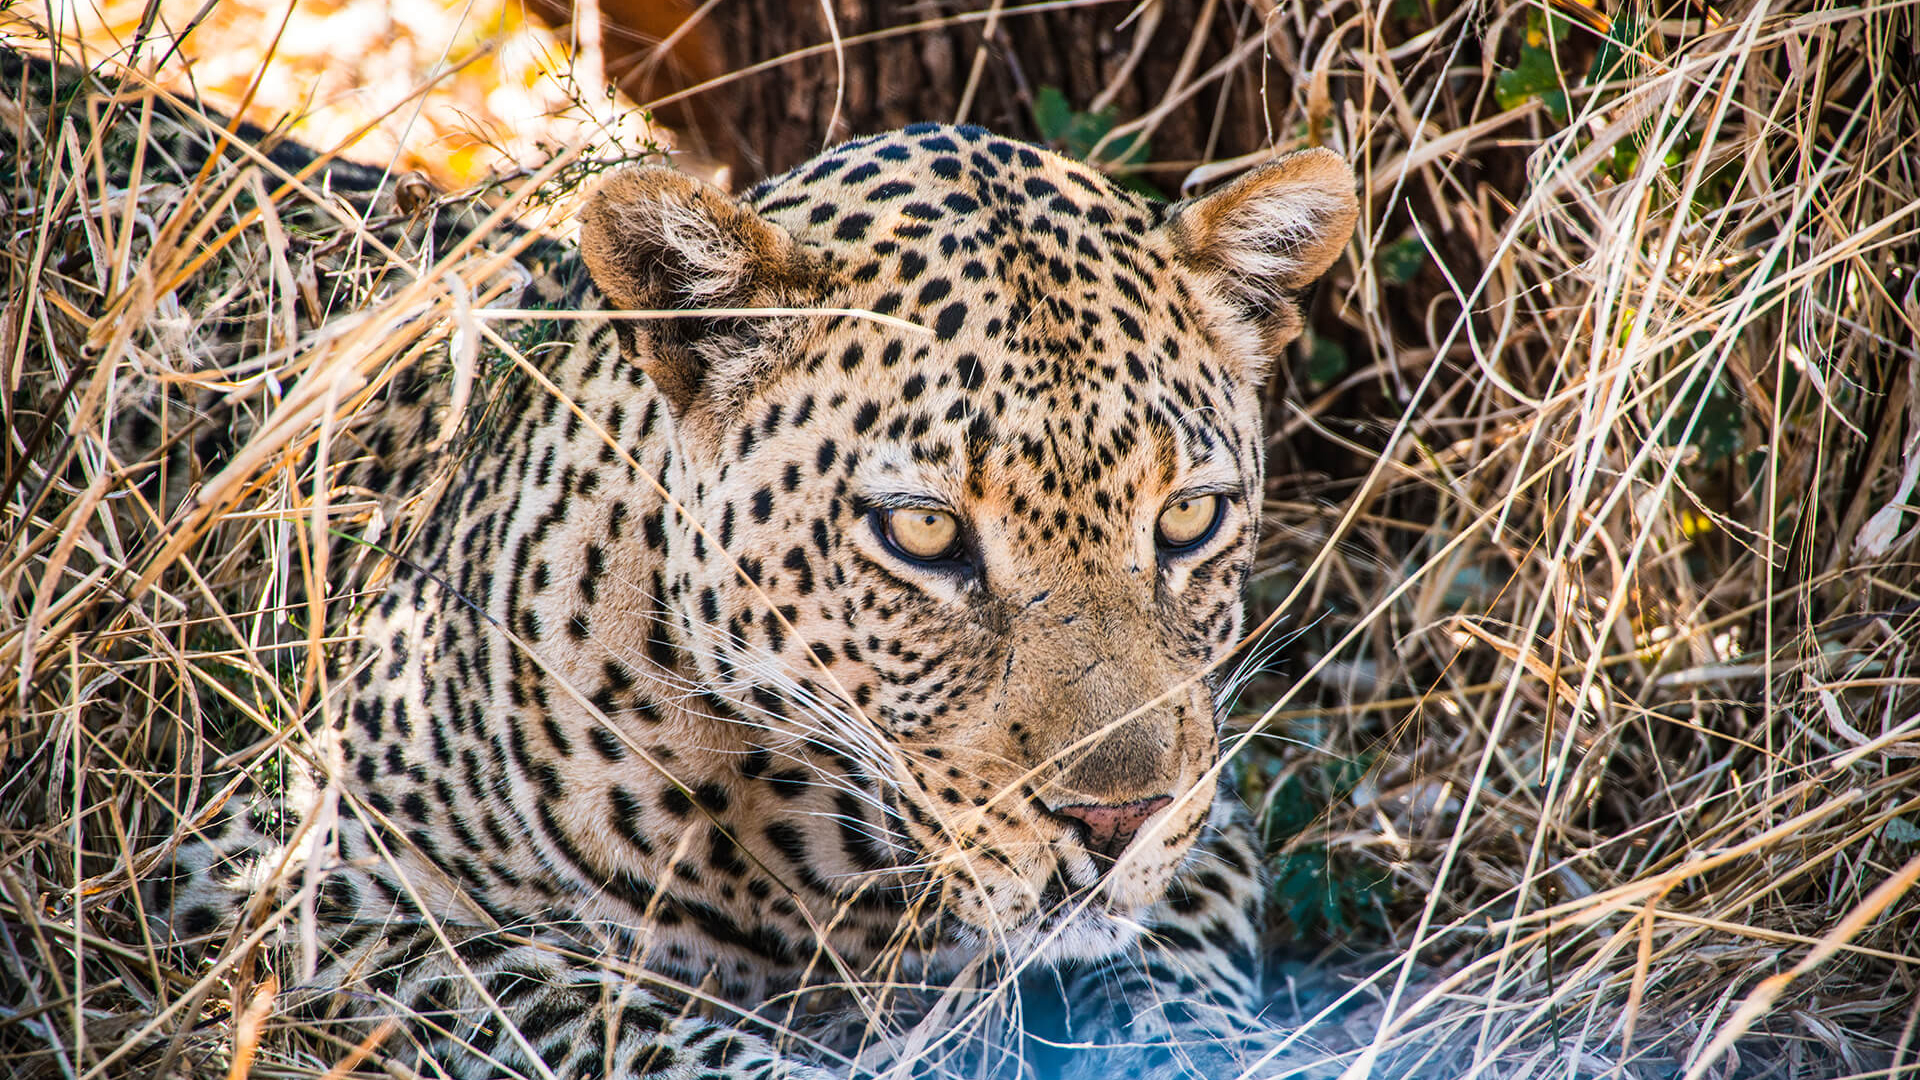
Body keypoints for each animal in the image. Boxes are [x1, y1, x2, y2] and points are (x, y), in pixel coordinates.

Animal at [113, 73, 1360, 1078]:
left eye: (1189, 517)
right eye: (924, 534)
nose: (1117, 824)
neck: (811, 841)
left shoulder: (1210, 812)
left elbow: (1176, 974)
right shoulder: (284, 874)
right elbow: (606, 1021)